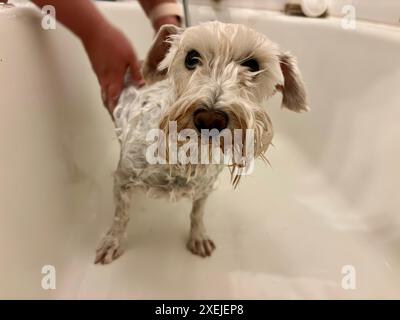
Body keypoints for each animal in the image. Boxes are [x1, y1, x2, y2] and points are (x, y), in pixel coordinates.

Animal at [95, 20, 308, 264]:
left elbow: (197, 213)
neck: (186, 155)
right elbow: (120, 216)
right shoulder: (123, 179)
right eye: (191, 57)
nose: (210, 119)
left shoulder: (204, 187)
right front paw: (112, 242)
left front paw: (198, 237)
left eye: (253, 65)